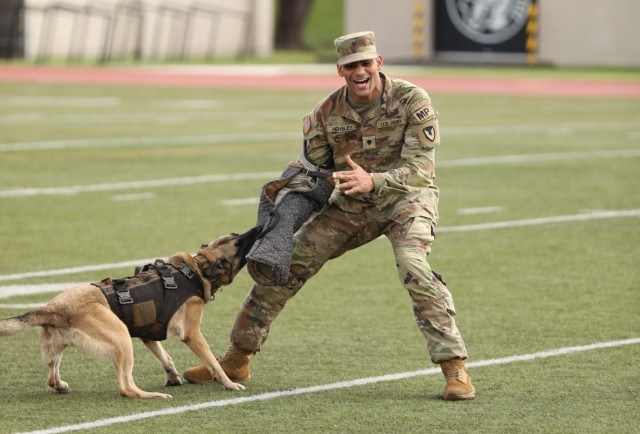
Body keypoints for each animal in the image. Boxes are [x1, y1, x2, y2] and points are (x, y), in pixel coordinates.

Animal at [0, 227, 260, 400]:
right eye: (237, 243)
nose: (258, 228)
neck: (196, 270)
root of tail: (53, 308)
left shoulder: (149, 335)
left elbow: (166, 358)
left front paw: (172, 378)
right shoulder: (192, 335)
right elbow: (213, 363)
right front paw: (229, 384)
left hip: (59, 348)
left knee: (51, 377)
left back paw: (60, 385)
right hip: (122, 338)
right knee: (126, 388)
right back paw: (151, 395)